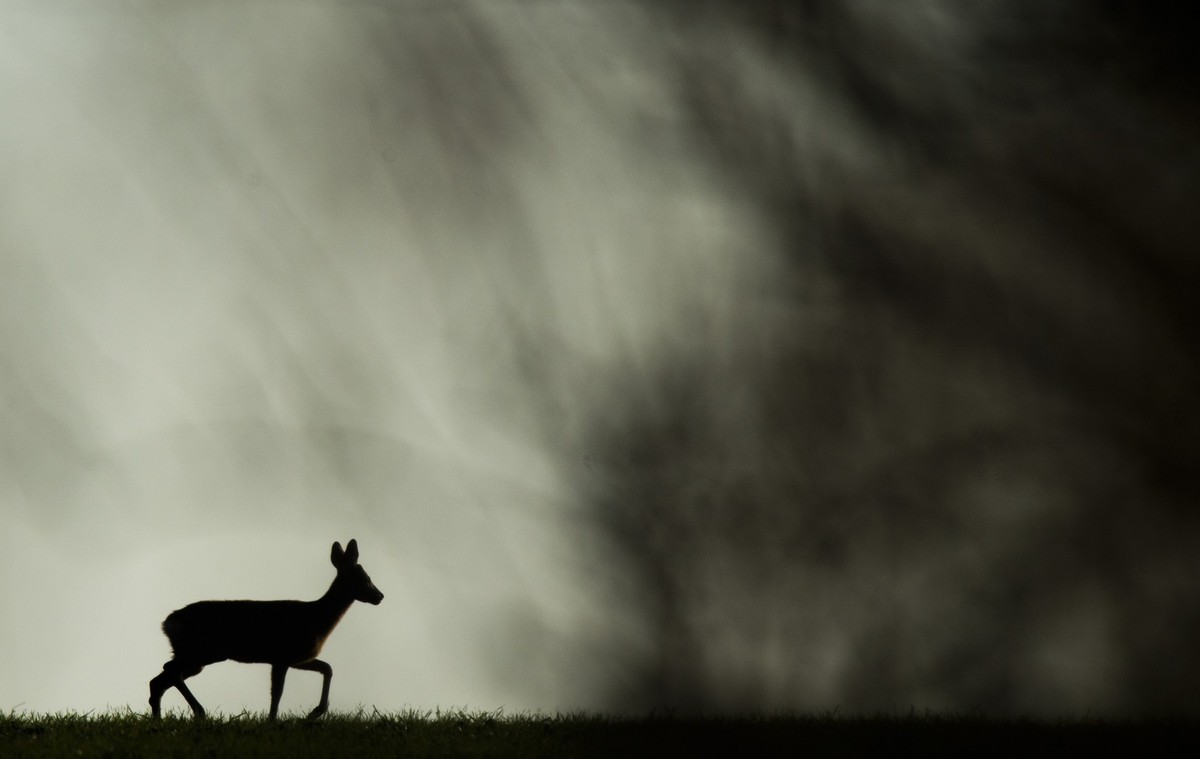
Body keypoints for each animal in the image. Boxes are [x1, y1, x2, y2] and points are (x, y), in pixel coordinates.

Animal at [148, 539, 384, 720]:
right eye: (364, 578)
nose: (380, 596)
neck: (317, 619)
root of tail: (166, 623)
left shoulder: (298, 658)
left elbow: (327, 668)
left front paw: (315, 712)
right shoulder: (282, 656)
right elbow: (277, 692)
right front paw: (273, 720)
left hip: (195, 655)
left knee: (158, 680)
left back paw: (159, 720)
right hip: (202, 651)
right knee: (170, 671)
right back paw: (199, 711)